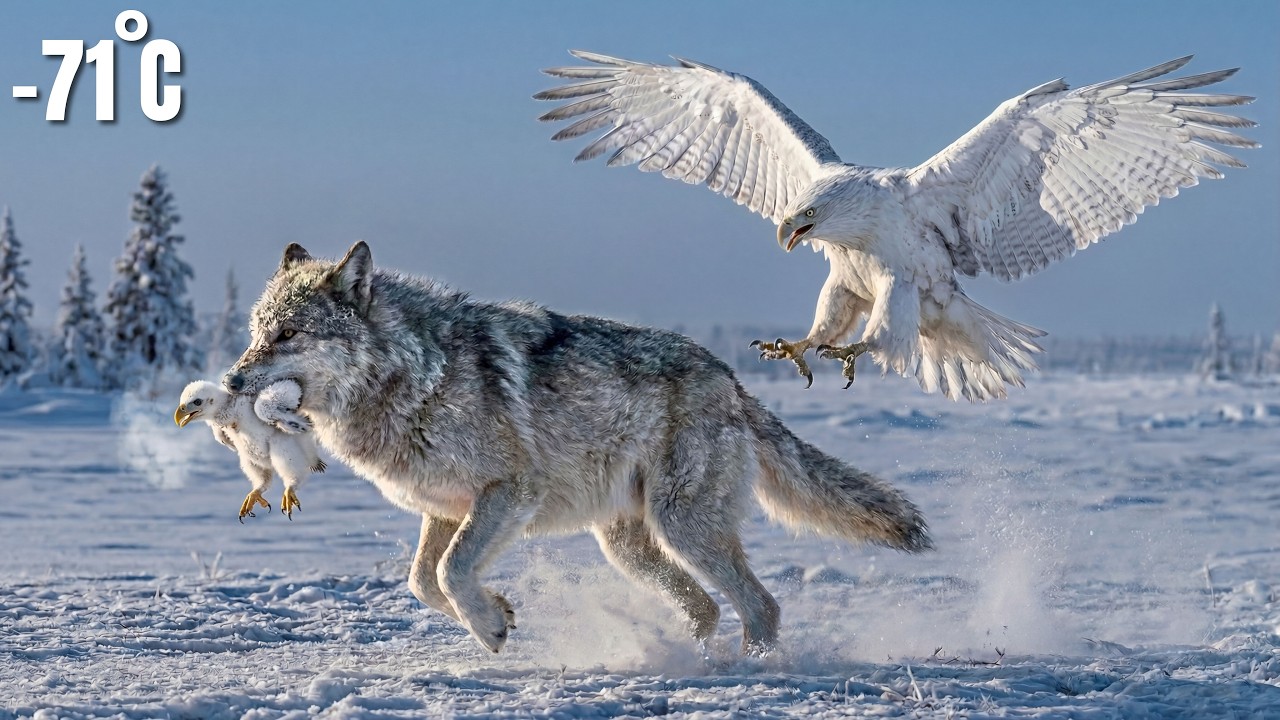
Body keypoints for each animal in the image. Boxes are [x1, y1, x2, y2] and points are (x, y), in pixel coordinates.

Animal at [224, 241, 932, 654]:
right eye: (257, 331)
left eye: (288, 335)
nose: (231, 381)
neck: (412, 373)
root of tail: (730, 379)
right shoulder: (446, 510)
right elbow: (424, 581)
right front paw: (497, 614)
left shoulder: (509, 493)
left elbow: (450, 572)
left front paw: (489, 625)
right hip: (629, 547)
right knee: (706, 608)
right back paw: (681, 658)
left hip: (683, 527)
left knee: (761, 606)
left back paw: (749, 670)